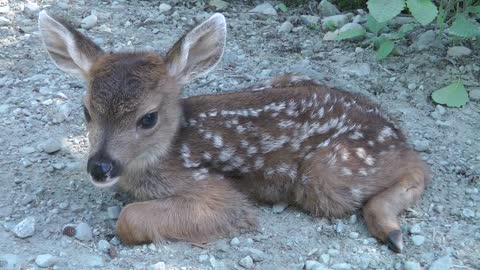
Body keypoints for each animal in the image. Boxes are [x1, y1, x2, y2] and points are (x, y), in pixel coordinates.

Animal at [38, 10, 428, 251]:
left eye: (148, 118)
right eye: (86, 110)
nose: (100, 167)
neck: (165, 153)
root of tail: (393, 130)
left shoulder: (212, 189)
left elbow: (129, 219)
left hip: (328, 173)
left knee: (419, 168)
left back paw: (392, 231)